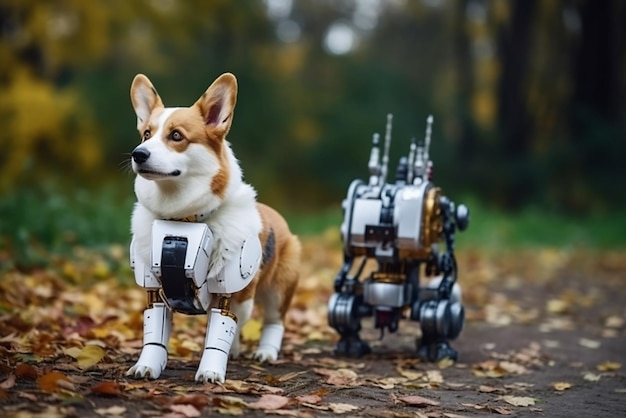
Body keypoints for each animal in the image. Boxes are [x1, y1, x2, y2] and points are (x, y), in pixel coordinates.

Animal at [125, 72, 300, 382]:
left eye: (176, 135)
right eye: (146, 134)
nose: (137, 154)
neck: (183, 219)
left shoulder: (233, 292)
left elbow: (220, 332)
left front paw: (211, 371)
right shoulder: (153, 289)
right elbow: (154, 336)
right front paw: (146, 365)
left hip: (277, 290)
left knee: (274, 321)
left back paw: (265, 353)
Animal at [326, 114, 468, 362]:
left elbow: (442, 299)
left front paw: (439, 351)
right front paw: (350, 347)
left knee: (434, 309)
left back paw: (435, 349)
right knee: (346, 303)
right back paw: (350, 345)